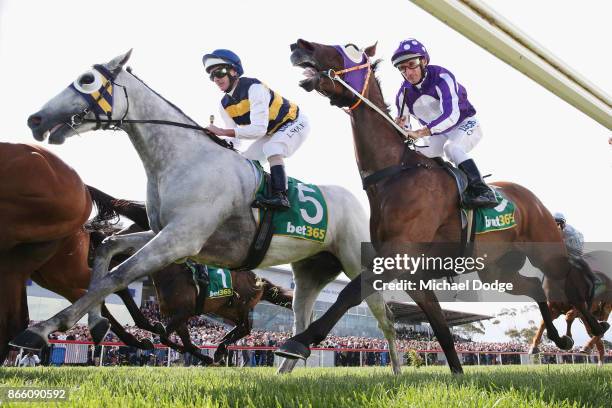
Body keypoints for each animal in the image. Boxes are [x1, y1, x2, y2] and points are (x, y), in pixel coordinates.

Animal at [16, 51, 402, 376]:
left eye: (86, 80)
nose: (36, 119)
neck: (184, 159)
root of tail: (356, 202)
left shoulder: (180, 239)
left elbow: (118, 275)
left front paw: (41, 329)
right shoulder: (167, 233)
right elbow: (108, 251)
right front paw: (97, 322)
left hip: (354, 258)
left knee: (383, 315)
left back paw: (396, 371)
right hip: (310, 271)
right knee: (301, 318)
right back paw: (284, 368)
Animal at [274, 39, 608, 374]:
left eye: (350, 48)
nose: (300, 45)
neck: (395, 173)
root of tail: (533, 199)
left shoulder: (397, 257)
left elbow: (348, 293)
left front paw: (299, 342)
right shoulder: (414, 276)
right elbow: (443, 332)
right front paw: (459, 375)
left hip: (545, 251)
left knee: (569, 284)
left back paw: (593, 327)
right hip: (497, 269)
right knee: (535, 287)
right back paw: (557, 339)